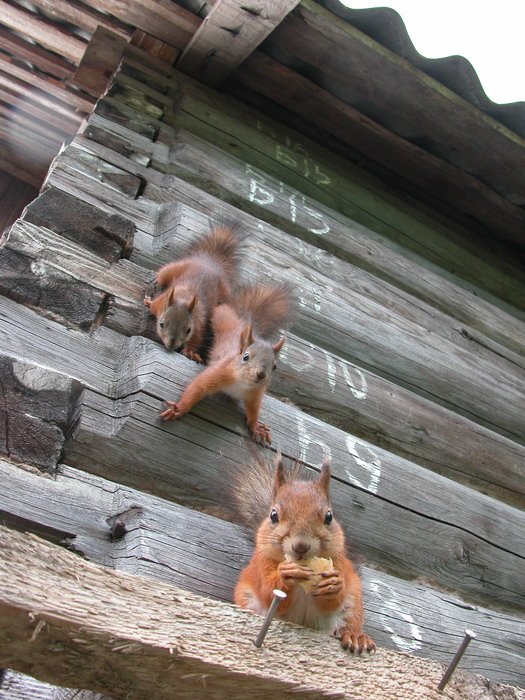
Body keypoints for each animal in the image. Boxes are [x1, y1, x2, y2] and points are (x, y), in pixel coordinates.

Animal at [160, 284, 294, 442]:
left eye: (274, 367)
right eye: (246, 357)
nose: (261, 374)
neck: (242, 383)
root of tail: (243, 320)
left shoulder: (255, 394)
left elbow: (253, 411)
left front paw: (256, 427)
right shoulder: (219, 371)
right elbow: (198, 386)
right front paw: (180, 408)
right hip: (222, 316)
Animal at [232, 452, 372, 652]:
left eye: (329, 517)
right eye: (273, 515)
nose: (300, 546)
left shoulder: (339, 562)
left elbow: (331, 601)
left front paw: (334, 584)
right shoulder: (261, 564)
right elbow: (268, 592)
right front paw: (286, 574)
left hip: (353, 603)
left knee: (349, 623)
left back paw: (355, 637)